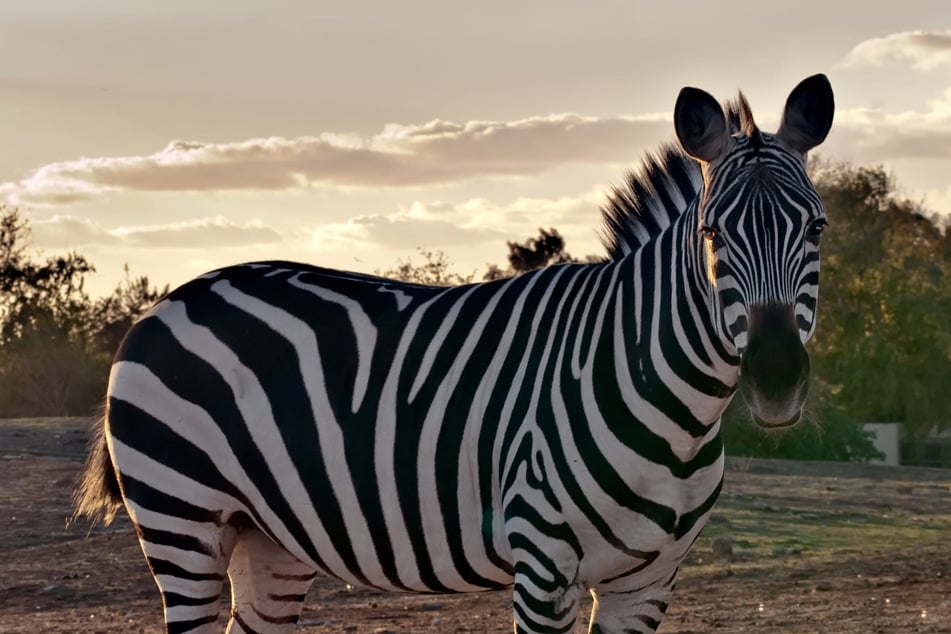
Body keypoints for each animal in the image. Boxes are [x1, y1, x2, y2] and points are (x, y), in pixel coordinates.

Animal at [74, 74, 834, 633]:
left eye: (818, 228)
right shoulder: (542, 565)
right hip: (180, 518)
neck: (677, 415)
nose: (774, 381)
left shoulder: (647, 582)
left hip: (268, 535)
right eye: (711, 235)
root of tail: (168, 301)